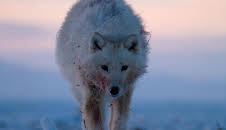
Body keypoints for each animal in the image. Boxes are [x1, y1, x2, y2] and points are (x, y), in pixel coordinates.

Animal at [55, 0, 149, 129]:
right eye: (104, 67)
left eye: (124, 67)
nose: (114, 90)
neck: (113, 31)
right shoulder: (92, 94)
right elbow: (95, 122)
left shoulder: (124, 93)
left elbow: (118, 121)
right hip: (79, 91)